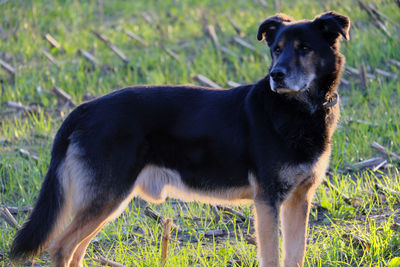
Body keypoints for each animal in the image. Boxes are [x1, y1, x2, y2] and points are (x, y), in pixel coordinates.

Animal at [10, 11, 350, 267]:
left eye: (304, 48)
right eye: (276, 49)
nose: (276, 75)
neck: (298, 110)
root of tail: (83, 109)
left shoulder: (298, 200)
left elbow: (295, 255)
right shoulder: (267, 201)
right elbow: (272, 257)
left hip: (107, 201)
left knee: (76, 250)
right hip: (106, 197)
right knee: (61, 247)